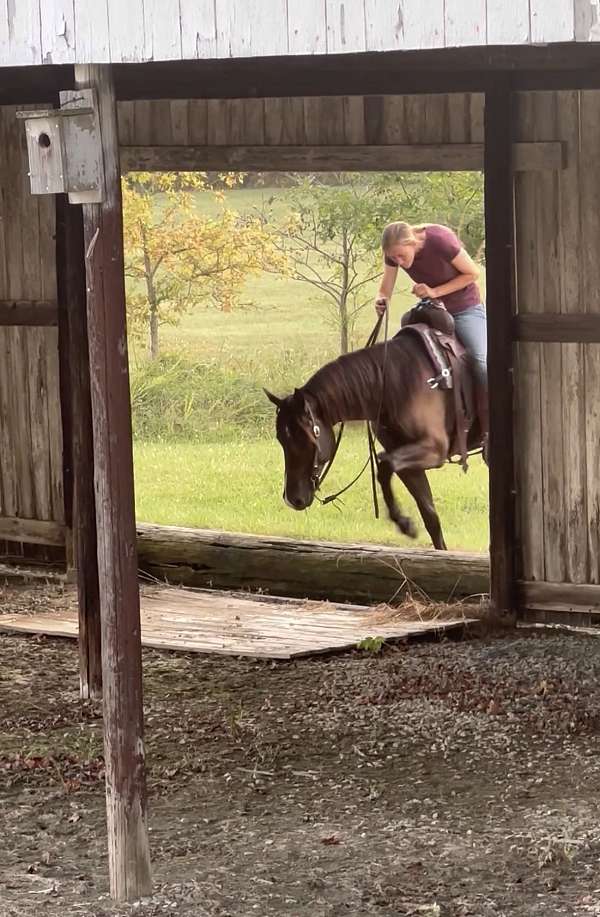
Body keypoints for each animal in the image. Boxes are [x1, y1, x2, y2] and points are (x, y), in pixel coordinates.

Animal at [264, 334, 480, 552]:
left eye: (306, 438)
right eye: (281, 439)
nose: (293, 499)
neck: (396, 383)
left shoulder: (434, 449)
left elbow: (385, 464)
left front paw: (404, 523)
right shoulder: (408, 464)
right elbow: (431, 517)